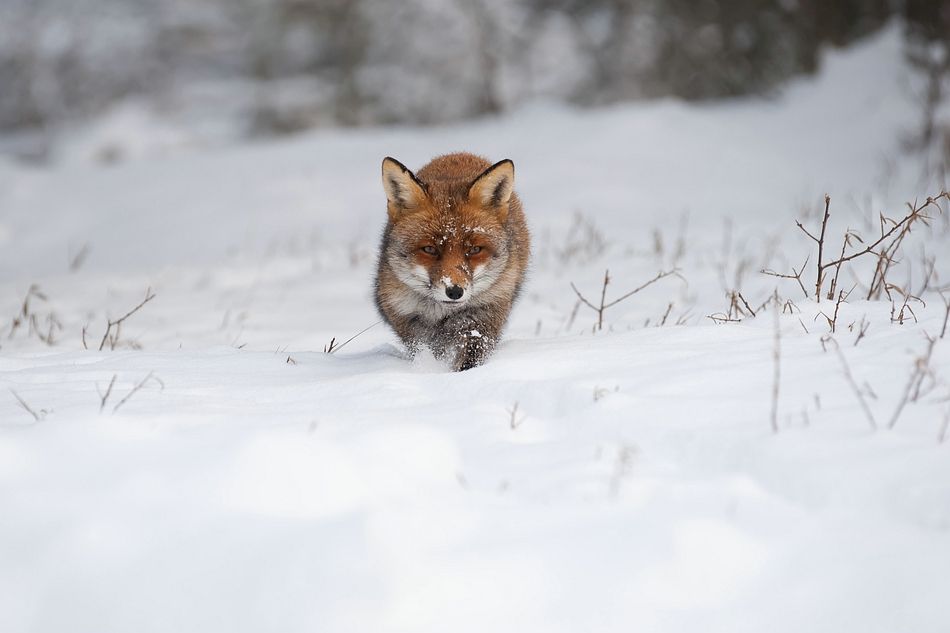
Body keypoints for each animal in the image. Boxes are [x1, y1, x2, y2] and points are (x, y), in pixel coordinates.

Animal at [376, 153, 532, 370]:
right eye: (430, 249)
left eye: (474, 250)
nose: (455, 292)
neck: (441, 313)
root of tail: (461, 154)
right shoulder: (407, 318)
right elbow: (423, 351)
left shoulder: (485, 314)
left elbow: (470, 358)